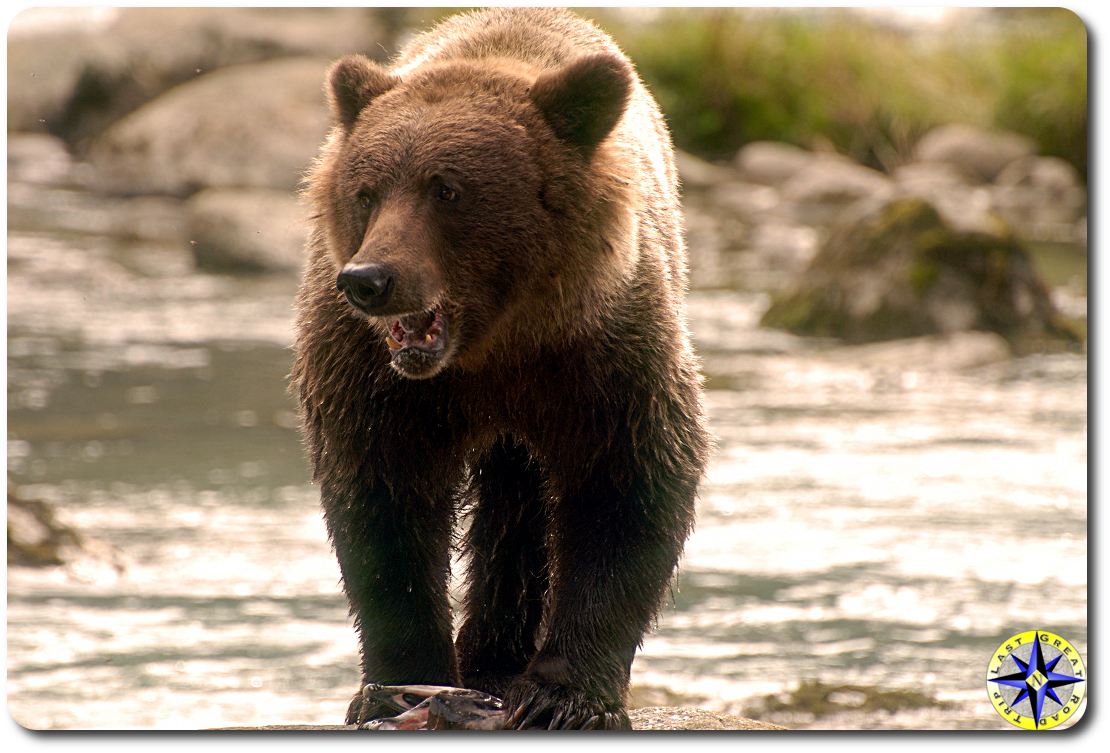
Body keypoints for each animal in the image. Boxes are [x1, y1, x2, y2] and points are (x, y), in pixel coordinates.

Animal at [291, 7, 711, 730]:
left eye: (447, 188)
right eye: (366, 191)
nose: (370, 279)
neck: (492, 344)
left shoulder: (602, 351)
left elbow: (629, 484)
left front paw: (566, 698)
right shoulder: (372, 373)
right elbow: (381, 499)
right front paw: (400, 685)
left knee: (521, 511)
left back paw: (498, 659)